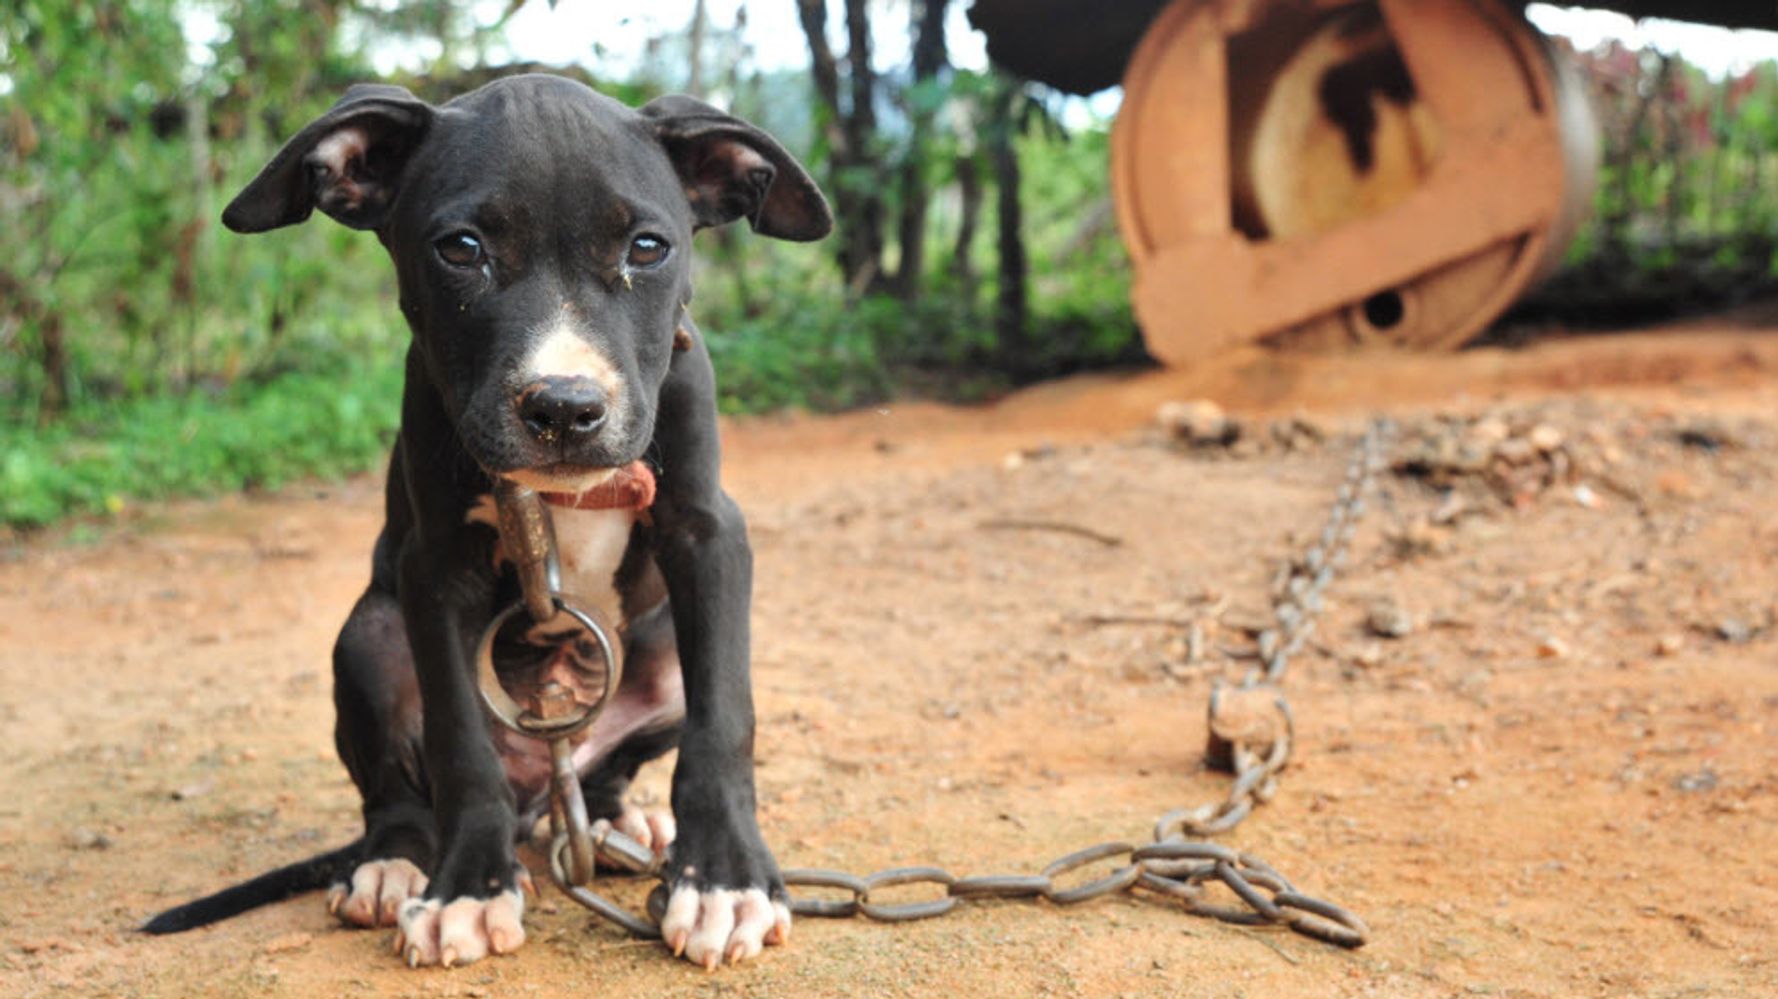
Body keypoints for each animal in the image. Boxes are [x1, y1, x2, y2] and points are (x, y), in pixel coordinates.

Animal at [140, 75, 832, 967]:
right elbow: (458, 738)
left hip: (658, 656)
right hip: (368, 636)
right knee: (400, 793)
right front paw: (467, 888)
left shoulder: (707, 534)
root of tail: (541, 789)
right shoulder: (435, 568)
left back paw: (613, 822)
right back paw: (395, 864)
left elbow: (725, 719)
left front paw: (721, 880)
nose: (565, 408)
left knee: (606, 767)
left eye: (648, 247)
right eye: (461, 249)